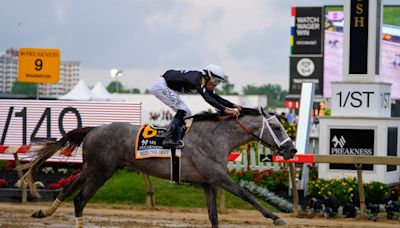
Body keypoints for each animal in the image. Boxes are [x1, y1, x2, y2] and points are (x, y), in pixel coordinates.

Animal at [19, 107, 296, 228]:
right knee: (79, 200)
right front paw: (276, 218)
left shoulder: (207, 183)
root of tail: (94, 129)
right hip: (101, 172)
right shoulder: (217, 176)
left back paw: (43, 212)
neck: (217, 136)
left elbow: (214, 216)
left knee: (66, 191)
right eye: (278, 127)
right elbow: (247, 194)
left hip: (93, 168)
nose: (292, 150)